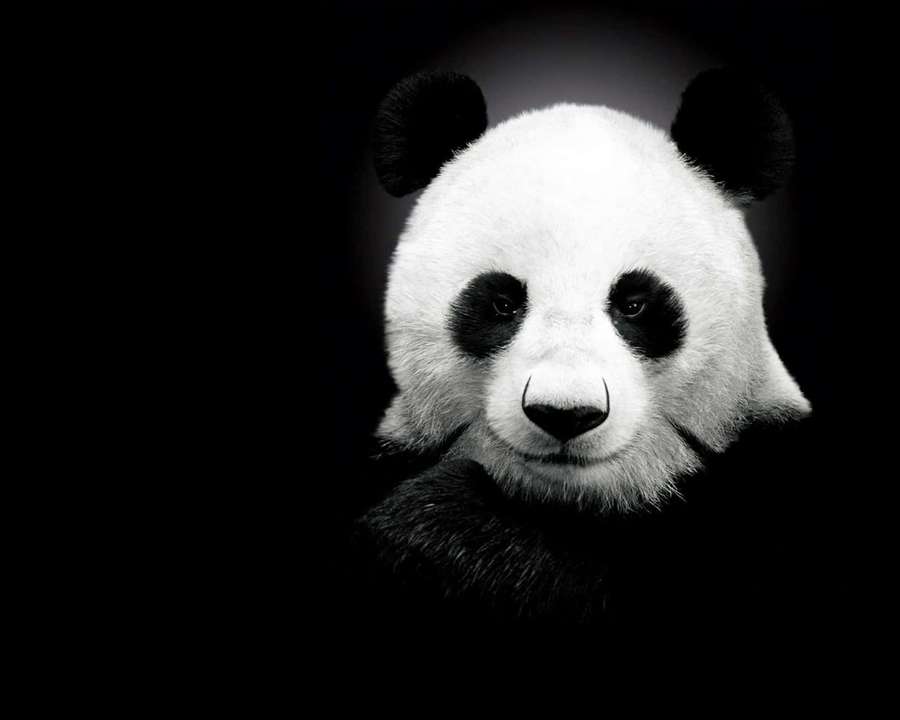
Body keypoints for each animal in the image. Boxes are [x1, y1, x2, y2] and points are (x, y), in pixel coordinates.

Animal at [348, 68, 813, 636]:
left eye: (634, 304)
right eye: (502, 302)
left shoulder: (768, 485)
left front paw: (440, 529)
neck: (574, 503)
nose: (565, 414)